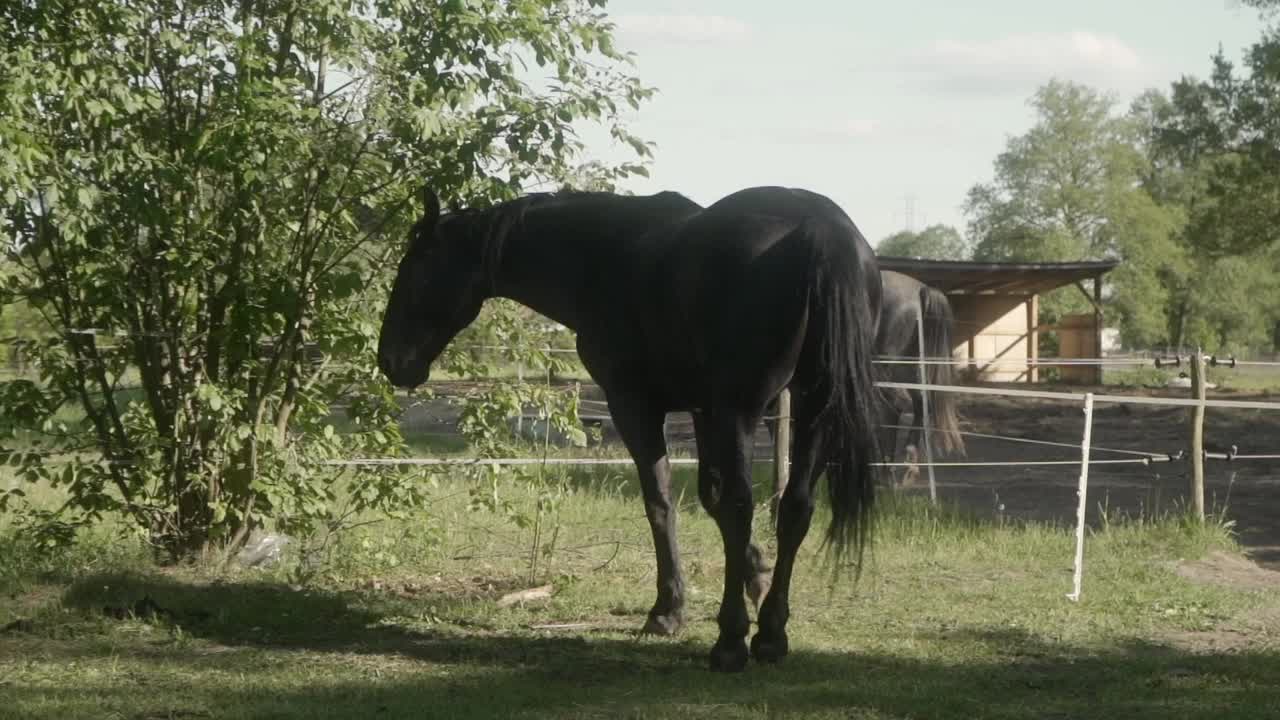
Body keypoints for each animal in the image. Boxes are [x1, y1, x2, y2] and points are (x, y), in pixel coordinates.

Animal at [373, 183, 885, 666]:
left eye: (416, 269)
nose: (391, 362)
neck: (605, 259)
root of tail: (818, 227)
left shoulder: (636, 405)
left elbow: (663, 502)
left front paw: (668, 609)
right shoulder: (703, 410)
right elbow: (710, 497)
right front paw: (754, 576)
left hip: (745, 409)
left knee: (744, 506)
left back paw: (730, 642)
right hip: (814, 408)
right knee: (794, 508)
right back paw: (772, 635)